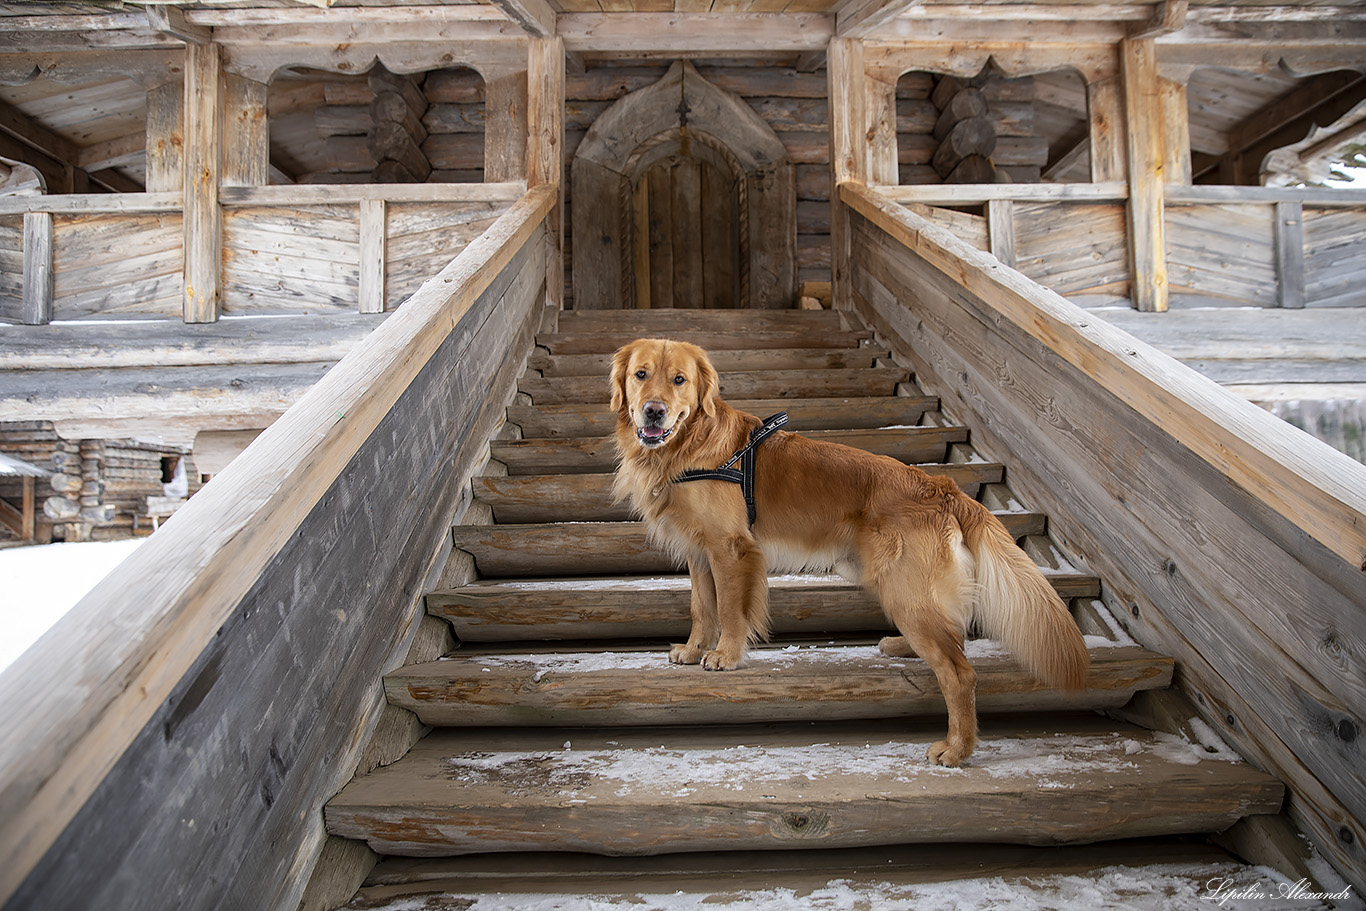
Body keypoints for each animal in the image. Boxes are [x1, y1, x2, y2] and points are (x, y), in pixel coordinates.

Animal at [609, 338, 1087, 764]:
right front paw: (693, 650)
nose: (654, 411)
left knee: (959, 672)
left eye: (680, 380)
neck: (687, 444)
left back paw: (957, 749)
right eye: (641, 375)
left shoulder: (731, 549)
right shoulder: (698, 550)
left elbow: (728, 607)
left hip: (904, 589)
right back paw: (905, 649)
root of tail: (943, 487)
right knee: (953, 636)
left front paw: (725, 655)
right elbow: (701, 606)